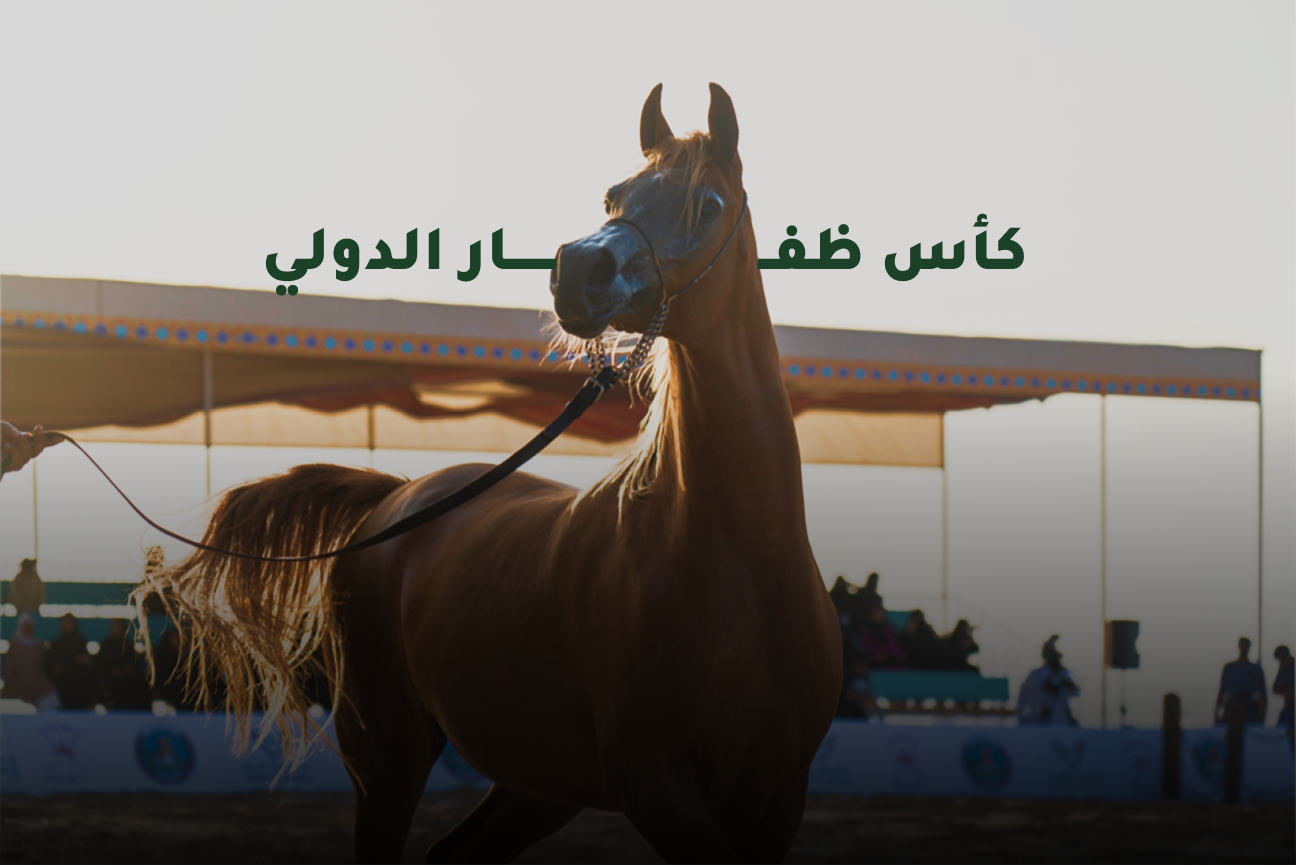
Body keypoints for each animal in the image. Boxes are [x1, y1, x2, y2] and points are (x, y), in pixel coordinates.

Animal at [138, 83, 841, 864]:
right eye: (614, 195)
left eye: (708, 205)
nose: (578, 271)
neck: (742, 562)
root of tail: (396, 498)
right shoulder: (654, 783)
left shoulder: (778, 796)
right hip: (387, 755)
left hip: (539, 783)